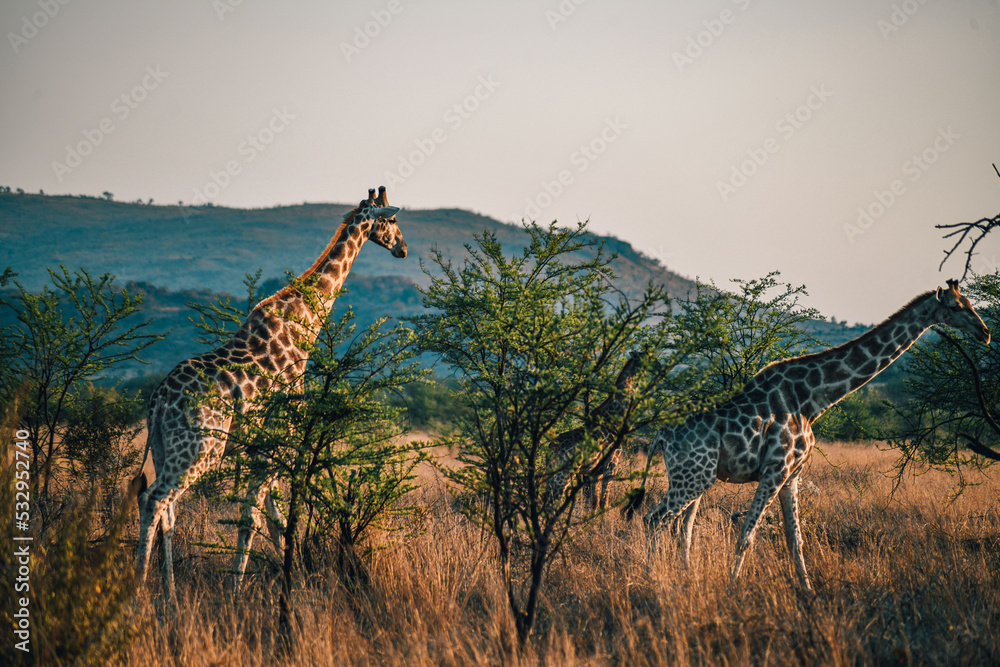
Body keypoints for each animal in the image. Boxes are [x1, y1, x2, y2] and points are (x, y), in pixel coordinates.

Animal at [132, 187, 407, 600]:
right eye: (391, 220)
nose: (403, 248)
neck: (305, 323)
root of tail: (159, 401)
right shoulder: (283, 437)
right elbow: (256, 516)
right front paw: (236, 591)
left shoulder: (265, 445)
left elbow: (273, 518)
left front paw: (294, 581)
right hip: (200, 449)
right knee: (155, 500)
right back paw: (138, 590)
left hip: (165, 447)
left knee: (165, 510)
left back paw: (170, 593)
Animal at [551, 350, 643, 511]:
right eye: (646, 357)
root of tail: (549, 448)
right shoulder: (611, 466)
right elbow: (604, 502)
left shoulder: (595, 473)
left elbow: (595, 503)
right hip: (563, 475)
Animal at [640, 280, 990, 591]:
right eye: (956, 306)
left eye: (970, 302)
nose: (985, 333)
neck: (811, 399)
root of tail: (661, 434)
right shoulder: (775, 470)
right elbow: (746, 536)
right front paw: (731, 589)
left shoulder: (791, 475)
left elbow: (795, 540)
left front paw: (808, 593)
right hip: (693, 476)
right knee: (654, 520)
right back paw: (653, 579)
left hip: (697, 477)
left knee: (678, 529)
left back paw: (678, 577)